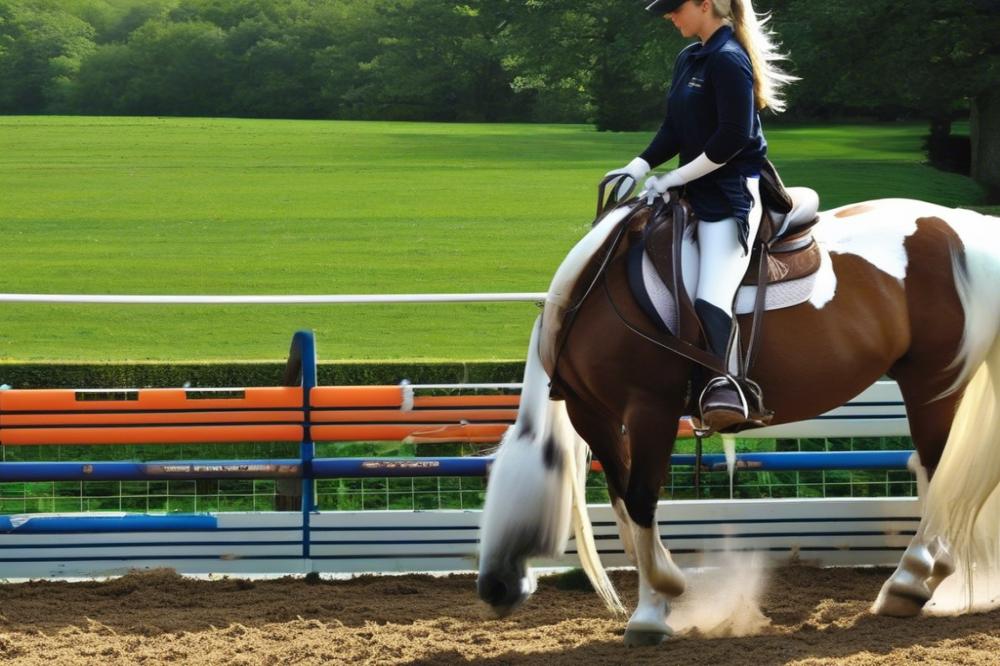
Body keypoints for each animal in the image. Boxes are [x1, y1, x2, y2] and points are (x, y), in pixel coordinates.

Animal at [474, 191, 1000, 644]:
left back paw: (908, 581)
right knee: (932, 469)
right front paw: (662, 592)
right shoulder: (594, 414)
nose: (492, 589)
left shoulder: (650, 410)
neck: (591, 296)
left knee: (936, 467)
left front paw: (654, 607)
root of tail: (967, 229)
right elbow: (623, 502)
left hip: (931, 380)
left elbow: (642, 499)